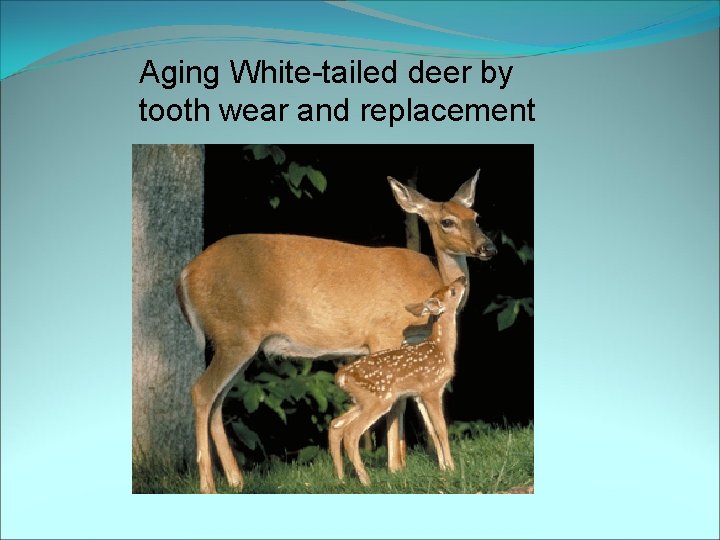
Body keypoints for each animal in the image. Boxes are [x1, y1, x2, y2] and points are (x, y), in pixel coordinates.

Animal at [329, 276, 467, 485]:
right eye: (452, 291)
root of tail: (341, 376)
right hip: (380, 399)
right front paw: (452, 468)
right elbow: (441, 428)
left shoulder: (418, 394)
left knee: (336, 425)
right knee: (351, 432)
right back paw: (366, 481)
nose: (462, 278)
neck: (441, 348)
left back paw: (341, 478)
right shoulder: (432, 389)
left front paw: (443, 468)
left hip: (362, 400)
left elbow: (431, 431)